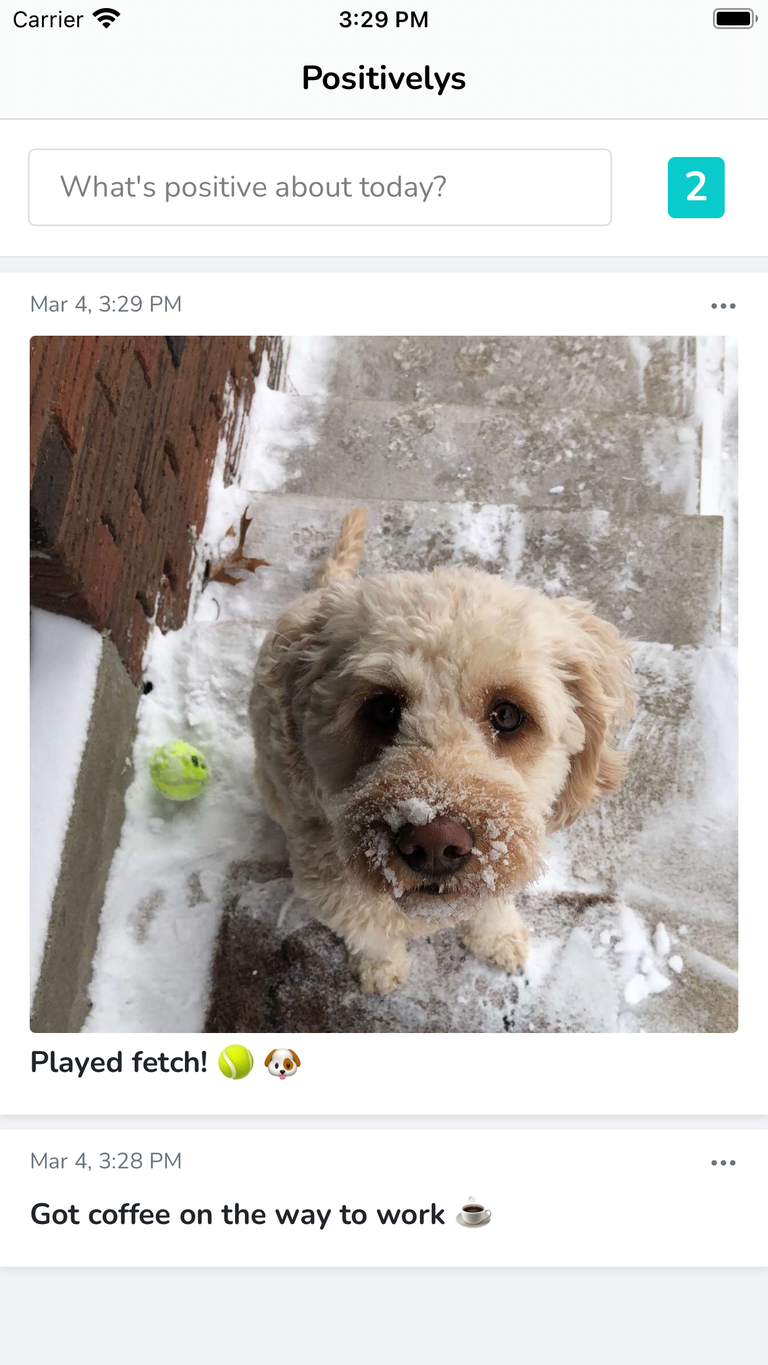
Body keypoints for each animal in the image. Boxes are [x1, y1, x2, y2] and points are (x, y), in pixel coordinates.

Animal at [249, 507, 632, 999]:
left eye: (508, 714)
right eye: (381, 709)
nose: (434, 843)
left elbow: (491, 903)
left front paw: (498, 939)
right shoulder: (334, 892)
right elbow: (369, 934)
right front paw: (380, 968)